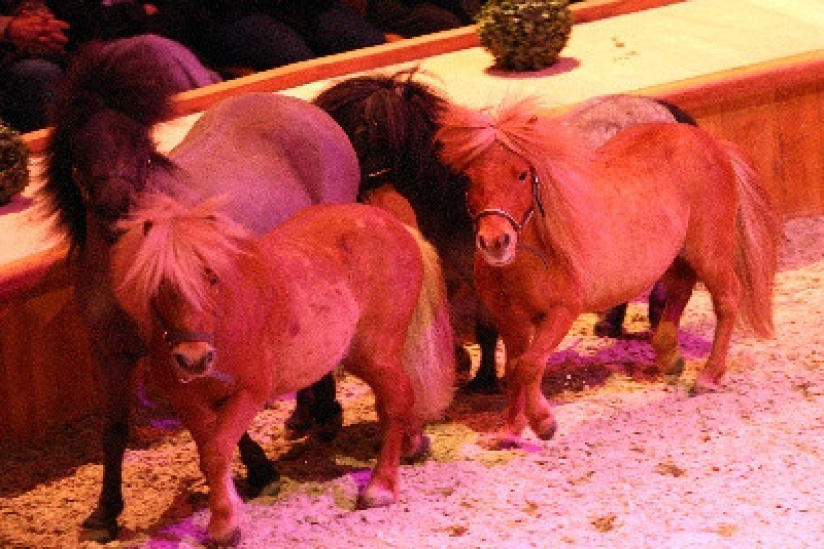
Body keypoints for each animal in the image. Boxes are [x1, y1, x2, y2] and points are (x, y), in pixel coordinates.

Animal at [40, 39, 359, 542]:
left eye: (140, 147)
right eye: (80, 146)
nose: (117, 208)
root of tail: (307, 111)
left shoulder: (196, 349)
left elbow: (215, 425)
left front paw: (261, 473)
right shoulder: (110, 354)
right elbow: (114, 430)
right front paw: (104, 514)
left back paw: (325, 416)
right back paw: (306, 416)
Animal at [110, 193, 455, 546]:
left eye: (212, 277)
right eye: (157, 286)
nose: (195, 359)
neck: (223, 320)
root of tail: (394, 224)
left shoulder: (249, 393)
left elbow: (217, 453)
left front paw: (224, 526)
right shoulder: (190, 405)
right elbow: (210, 456)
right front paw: (229, 511)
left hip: (373, 354)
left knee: (397, 398)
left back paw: (381, 487)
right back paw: (413, 445)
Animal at [436, 96, 780, 448]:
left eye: (521, 174)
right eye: (468, 179)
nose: (495, 242)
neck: (530, 259)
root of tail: (711, 142)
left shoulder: (561, 312)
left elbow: (529, 366)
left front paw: (544, 423)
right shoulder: (511, 321)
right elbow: (515, 368)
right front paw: (510, 430)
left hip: (709, 253)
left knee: (727, 300)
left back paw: (708, 377)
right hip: (674, 256)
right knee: (680, 291)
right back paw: (670, 358)